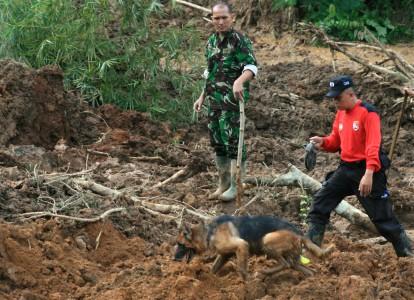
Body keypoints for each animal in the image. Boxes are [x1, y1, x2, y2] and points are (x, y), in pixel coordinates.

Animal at [174, 214, 334, 280]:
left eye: (180, 244)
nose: (173, 259)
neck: (208, 231)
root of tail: (299, 232)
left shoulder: (241, 246)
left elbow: (241, 268)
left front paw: (247, 283)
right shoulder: (224, 255)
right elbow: (214, 267)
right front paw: (211, 280)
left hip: (266, 240)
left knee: (285, 264)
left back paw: (264, 272)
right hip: (292, 258)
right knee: (305, 269)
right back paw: (308, 284)